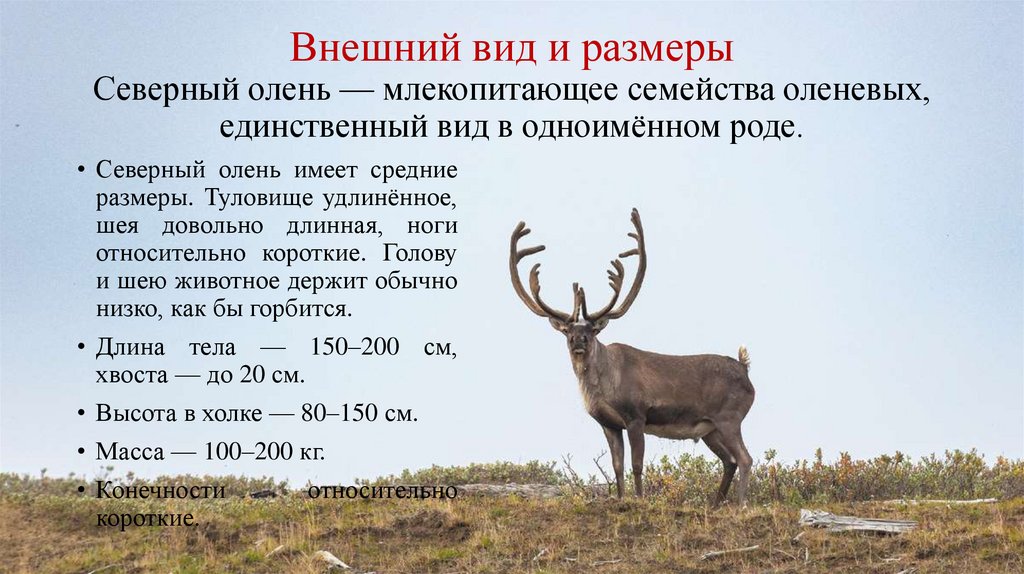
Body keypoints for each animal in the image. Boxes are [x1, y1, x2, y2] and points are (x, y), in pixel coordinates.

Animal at [509, 208, 756, 505]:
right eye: (568, 330)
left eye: (592, 330)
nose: (578, 340)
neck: (604, 387)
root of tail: (746, 369)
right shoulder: (608, 424)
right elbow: (617, 466)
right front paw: (620, 498)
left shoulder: (637, 415)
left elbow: (637, 465)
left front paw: (639, 498)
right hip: (709, 429)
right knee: (730, 461)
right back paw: (716, 503)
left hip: (729, 418)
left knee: (745, 458)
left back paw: (741, 504)